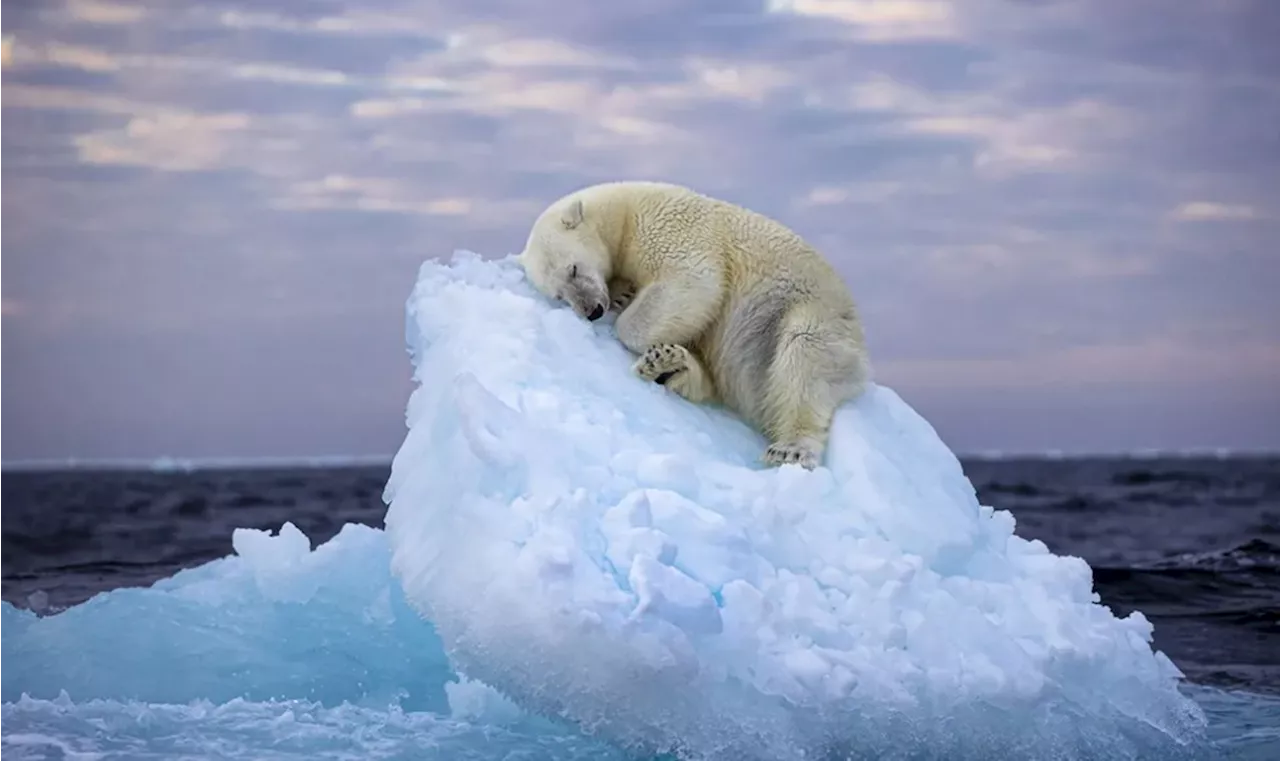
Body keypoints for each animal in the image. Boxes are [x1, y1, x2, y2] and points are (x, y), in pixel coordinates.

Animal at [517, 181, 870, 468]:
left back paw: (791, 448)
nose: (592, 310)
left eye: (573, 269)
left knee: (804, 356)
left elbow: (694, 281)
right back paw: (669, 365)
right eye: (559, 295)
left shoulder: (669, 227)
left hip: (806, 312)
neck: (624, 212)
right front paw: (623, 295)